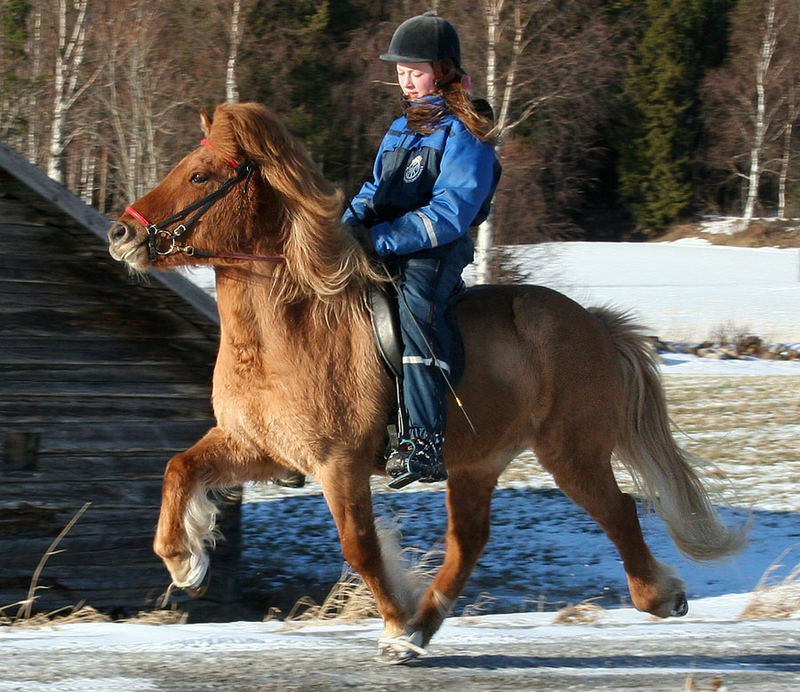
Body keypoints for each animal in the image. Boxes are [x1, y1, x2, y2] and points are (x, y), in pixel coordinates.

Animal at [106, 101, 744, 660]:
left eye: (199, 174)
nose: (121, 235)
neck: (286, 329)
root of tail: (594, 325)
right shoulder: (258, 447)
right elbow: (179, 469)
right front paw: (186, 563)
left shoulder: (339, 464)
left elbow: (360, 548)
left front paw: (390, 617)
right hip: (477, 462)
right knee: (470, 542)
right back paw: (421, 627)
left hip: (572, 453)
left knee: (619, 511)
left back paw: (659, 597)